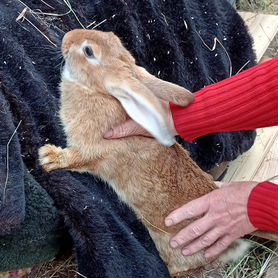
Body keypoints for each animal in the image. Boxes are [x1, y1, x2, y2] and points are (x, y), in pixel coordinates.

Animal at [38, 29, 249, 276]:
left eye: (88, 51)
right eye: (111, 35)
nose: (67, 37)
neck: (95, 92)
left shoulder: (92, 151)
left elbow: (76, 159)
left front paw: (48, 157)